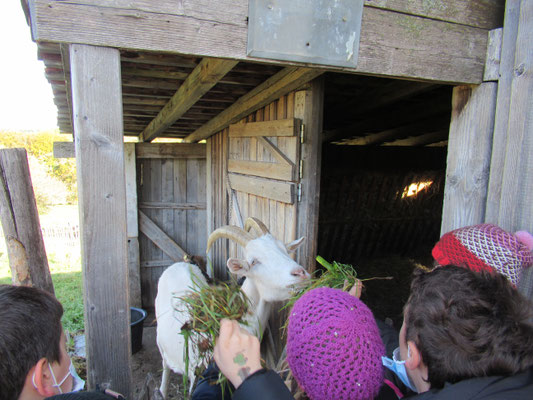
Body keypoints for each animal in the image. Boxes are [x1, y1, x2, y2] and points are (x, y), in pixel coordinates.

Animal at [154, 217, 310, 398]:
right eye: (254, 261)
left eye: (284, 250)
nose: (300, 274)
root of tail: (180, 264)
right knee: (165, 365)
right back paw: (162, 391)